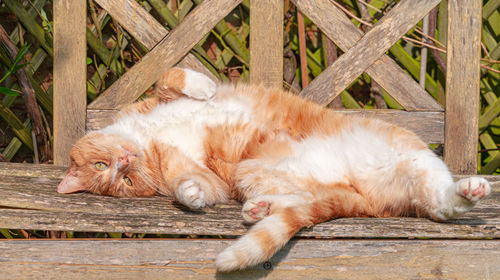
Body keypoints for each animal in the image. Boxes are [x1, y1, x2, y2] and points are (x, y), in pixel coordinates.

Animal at [56, 67, 490, 272]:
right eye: (121, 180)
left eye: (106, 167)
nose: (124, 162)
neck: (148, 138)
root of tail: (361, 196)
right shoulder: (204, 174)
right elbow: (192, 185)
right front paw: (191, 196)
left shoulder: (157, 98)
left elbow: (172, 76)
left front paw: (203, 89)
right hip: (253, 172)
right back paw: (259, 210)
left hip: (409, 155)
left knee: (438, 200)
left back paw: (469, 189)